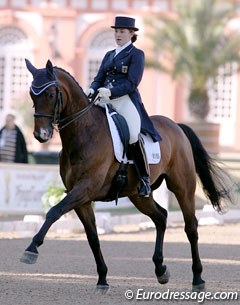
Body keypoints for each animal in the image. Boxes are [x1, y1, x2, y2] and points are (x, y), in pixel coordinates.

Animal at [20, 58, 232, 290]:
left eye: (50, 94)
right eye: (32, 95)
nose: (40, 135)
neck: (84, 132)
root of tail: (176, 125)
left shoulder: (85, 188)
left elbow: (54, 212)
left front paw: (31, 249)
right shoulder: (81, 197)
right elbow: (92, 236)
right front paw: (102, 278)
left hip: (182, 187)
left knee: (191, 226)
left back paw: (198, 278)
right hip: (138, 194)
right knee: (161, 217)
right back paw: (161, 270)